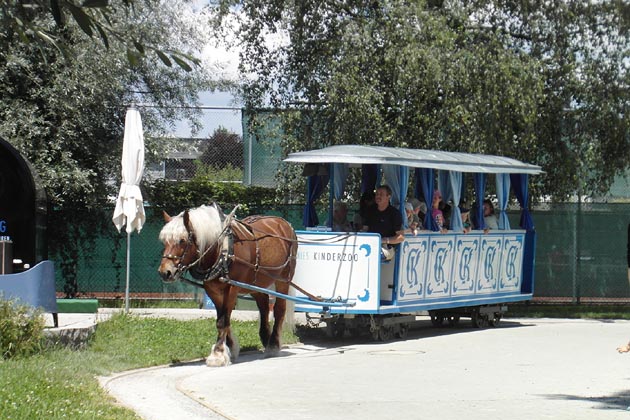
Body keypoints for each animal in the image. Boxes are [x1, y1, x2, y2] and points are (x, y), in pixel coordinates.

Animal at [157, 204, 298, 368]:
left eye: (182, 240)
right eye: (164, 241)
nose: (165, 272)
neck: (222, 249)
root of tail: (284, 223)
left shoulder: (231, 288)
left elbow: (223, 320)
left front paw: (217, 354)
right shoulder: (213, 290)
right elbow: (224, 319)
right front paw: (231, 347)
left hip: (284, 278)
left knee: (279, 309)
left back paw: (273, 345)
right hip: (255, 282)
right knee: (263, 306)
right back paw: (266, 338)